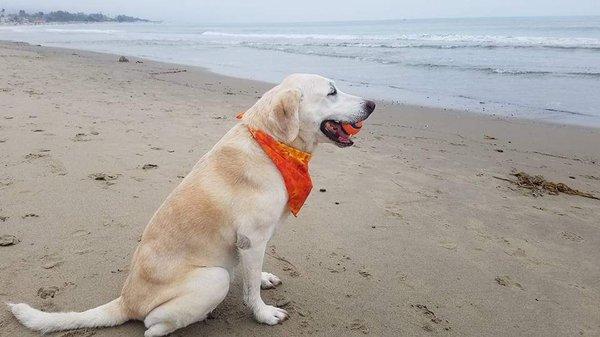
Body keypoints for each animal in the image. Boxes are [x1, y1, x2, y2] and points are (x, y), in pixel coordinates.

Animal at [8, 73, 376, 334]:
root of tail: (126, 301)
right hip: (214, 279)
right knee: (152, 325)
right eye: (332, 92)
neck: (271, 143)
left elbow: (253, 273)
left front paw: (263, 277)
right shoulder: (252, 238)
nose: (372, 103)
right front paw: (263, 313)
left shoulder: (254, 242)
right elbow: (250, 291)